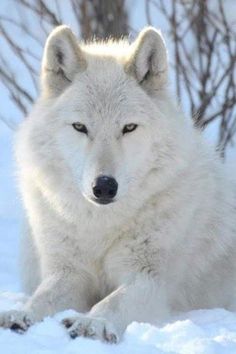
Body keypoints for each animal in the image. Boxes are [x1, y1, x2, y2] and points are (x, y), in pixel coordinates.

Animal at [0, 24, 236, 342]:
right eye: (80, 127)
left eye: (129, 128)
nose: (104, 187)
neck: (101, 224)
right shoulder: (68, 272)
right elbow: (41, 298)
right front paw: (20, 315)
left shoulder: (150, 279)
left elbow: (112, 302)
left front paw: (92, 323)